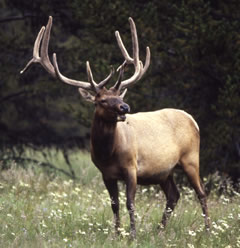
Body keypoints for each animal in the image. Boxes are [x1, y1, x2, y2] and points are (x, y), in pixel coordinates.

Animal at [21, 16, 210, 238]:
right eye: (101, 100)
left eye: (119, 95)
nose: (124, 107)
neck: (108, 153)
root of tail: (193, 120)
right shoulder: (106, 173)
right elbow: (115, 204)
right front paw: (118, 233)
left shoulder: (131, 167)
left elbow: (130, 203)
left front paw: (133, 235)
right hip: (165, 171)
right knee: (174, 195)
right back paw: (159, 230)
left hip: (191, 158)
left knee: (201, 192)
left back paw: (207, 230)